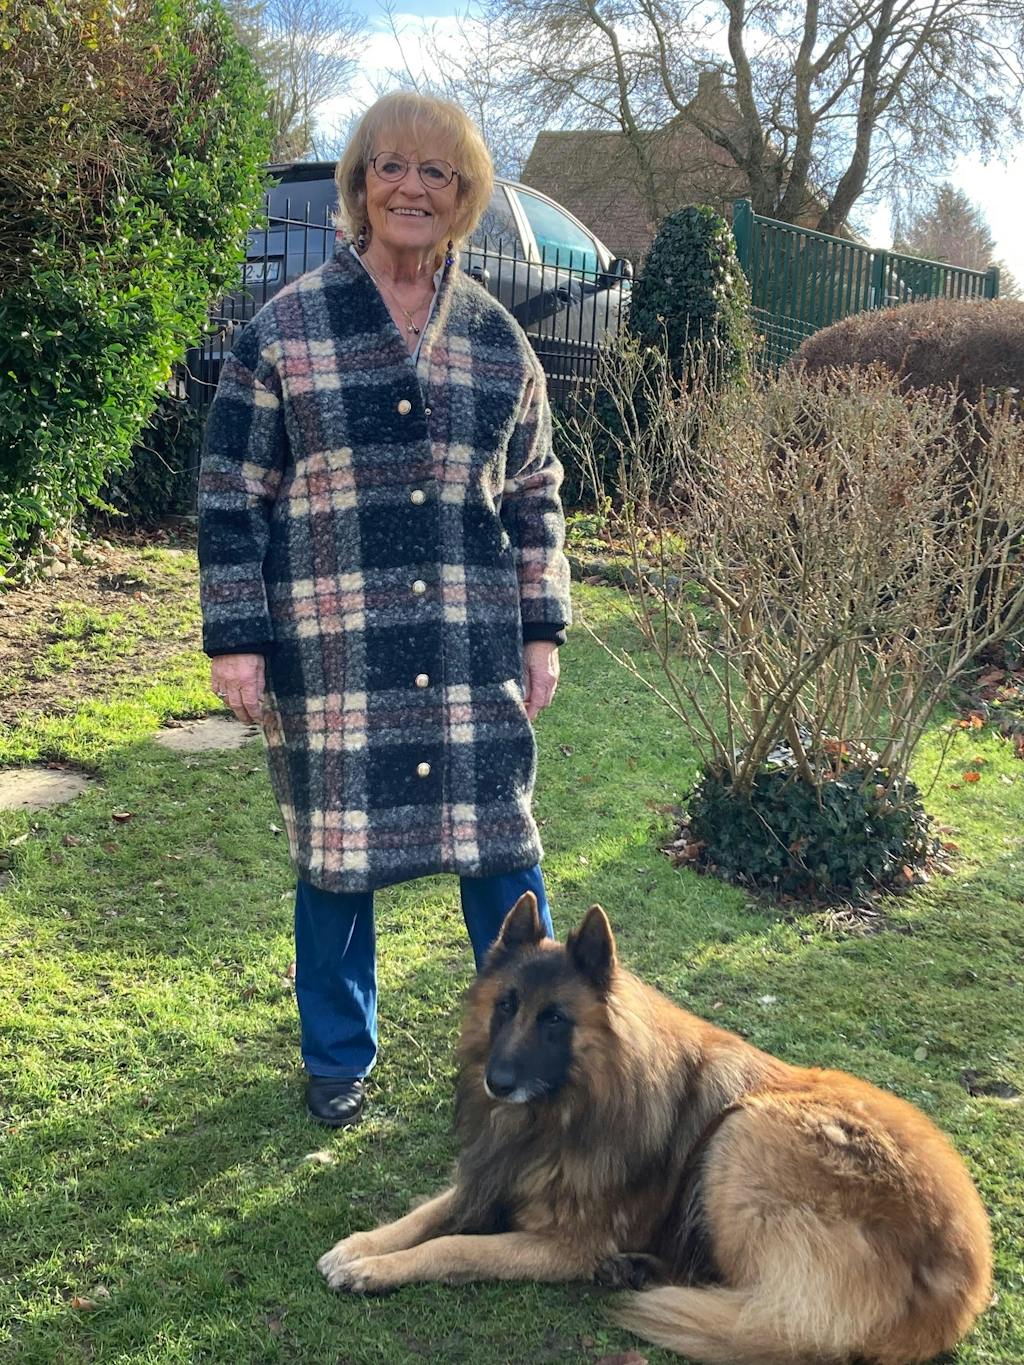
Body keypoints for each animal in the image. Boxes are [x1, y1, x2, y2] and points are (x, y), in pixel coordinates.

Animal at [318, 894, 992, 1364]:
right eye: (505, 1006)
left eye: (555, 1019)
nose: (498, 1082)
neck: (569, 1108)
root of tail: (961, 1284)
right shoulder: (491, 1174)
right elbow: (429, 1213)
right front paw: (361, 1247)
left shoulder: (566, 1244)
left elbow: (454, 1247)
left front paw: (377, 1270)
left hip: (739, 1136)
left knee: (764, 1313)